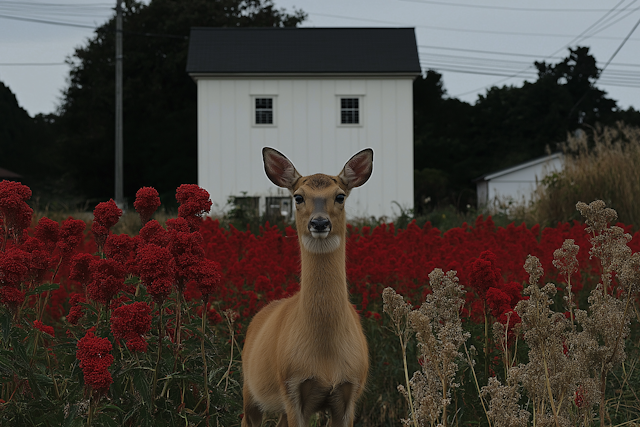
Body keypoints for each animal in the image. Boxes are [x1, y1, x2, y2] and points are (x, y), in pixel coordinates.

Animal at [241, 148, 372, 427]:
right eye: (298, 197)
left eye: (340, 196)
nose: (319, 223)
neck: (325, 357)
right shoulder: (292, 387)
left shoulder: (350, 390)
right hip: (250, 390)